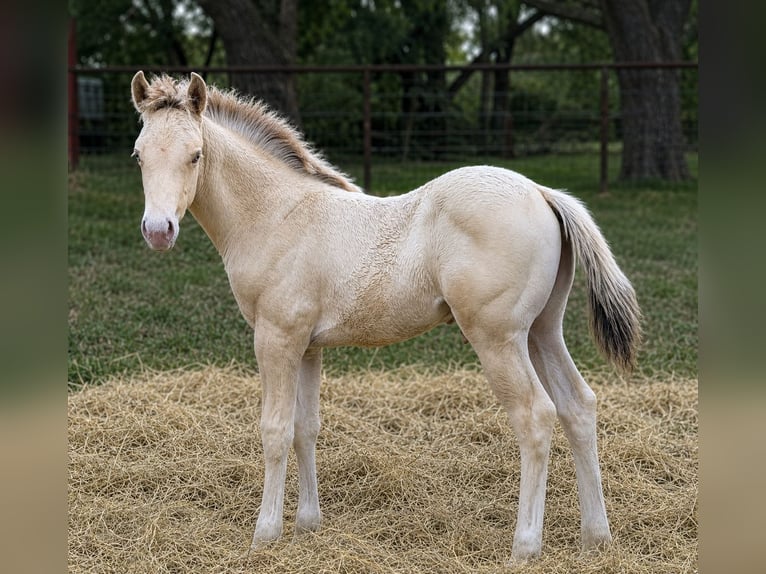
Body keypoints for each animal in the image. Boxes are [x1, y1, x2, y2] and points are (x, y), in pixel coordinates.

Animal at [130, 71, 640, 563]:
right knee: (578, 406)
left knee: (535, 415)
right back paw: (596, 537)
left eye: (195, 155)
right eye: (138, 156)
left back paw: (525, 546)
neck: (278, 216)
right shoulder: (308, 346)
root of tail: (541, 191)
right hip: (542, 332)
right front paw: (308, 523)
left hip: (498, 338)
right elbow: (305, 428)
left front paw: (265, 535)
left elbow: (275, 431)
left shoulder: (276, 339)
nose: (158, 231)